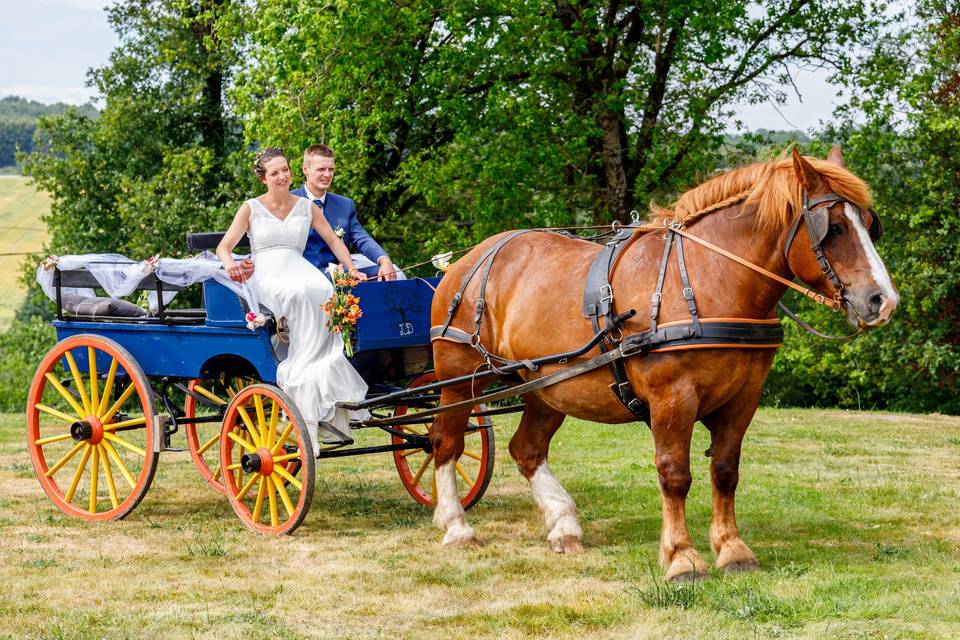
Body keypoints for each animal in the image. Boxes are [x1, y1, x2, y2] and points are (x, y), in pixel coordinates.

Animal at [424, 149, 896, 580]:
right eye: (834, 228)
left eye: (870, 225)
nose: (884, 300)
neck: (710, 279)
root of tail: (469, 260)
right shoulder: (673, 397)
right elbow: (675, 475)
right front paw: (681, 557)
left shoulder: (743, 400)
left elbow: (725, 472)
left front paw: (732, 549)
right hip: (458, 376)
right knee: (445, 442)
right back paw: (457, 526)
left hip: (546, 382)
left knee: (527, 449)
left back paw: (564, 525)